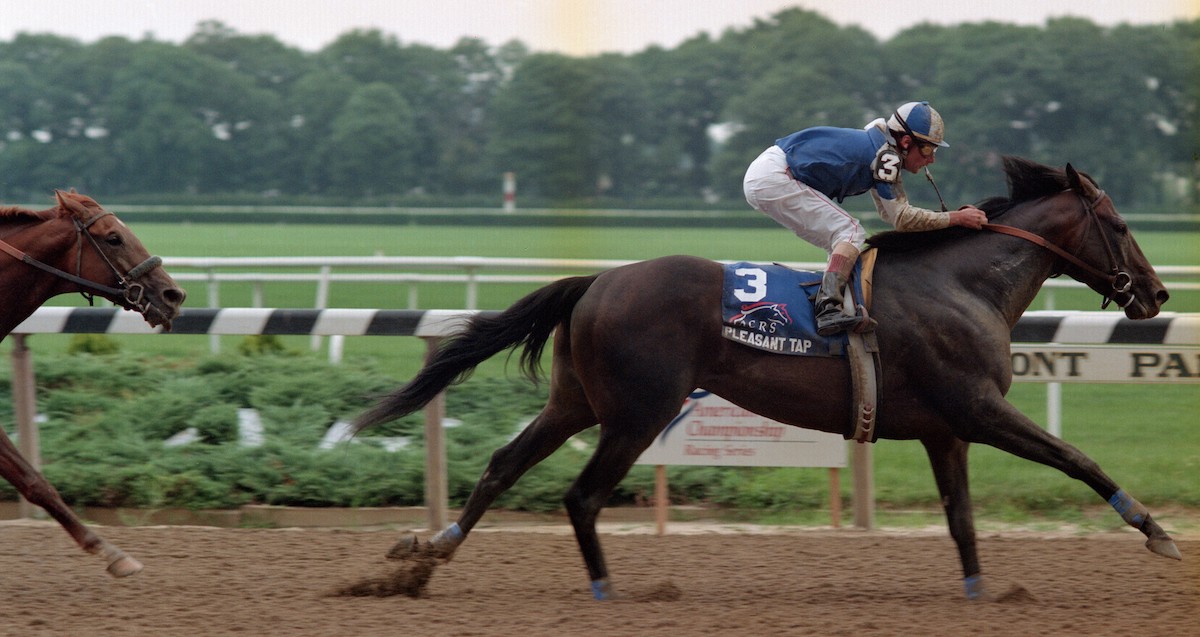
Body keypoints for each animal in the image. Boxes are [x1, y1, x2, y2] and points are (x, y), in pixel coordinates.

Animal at [350, 157, 1176, 599]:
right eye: (1120, 224)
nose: (1158, 293)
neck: (960, 285)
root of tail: (595, 282)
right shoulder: (976, 408)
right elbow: (1076, 457)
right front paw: (1157, 530)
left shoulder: (946, 431)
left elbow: (962, 518)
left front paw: (981, 590)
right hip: (638, 411)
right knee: (581, 495)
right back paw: (607, 587)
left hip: (576, 401)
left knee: (502, 465)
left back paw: (428, 552)